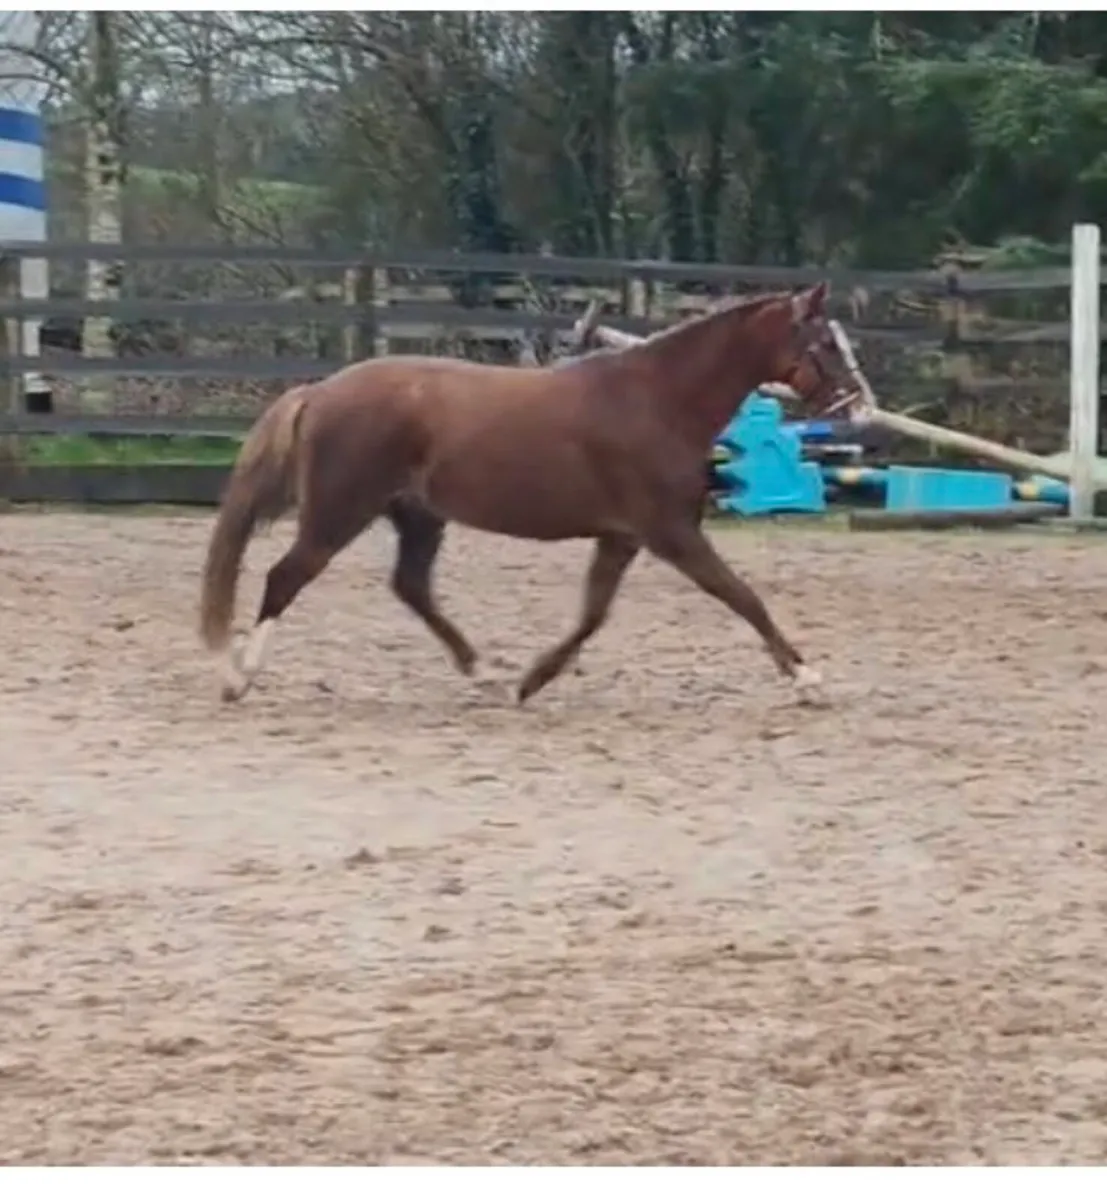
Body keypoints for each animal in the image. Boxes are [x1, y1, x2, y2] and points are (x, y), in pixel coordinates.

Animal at [199, 282, 859, 707]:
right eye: (825, 342)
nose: (853, 406)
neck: (658, 401)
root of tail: (320, 391)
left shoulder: (622, 537)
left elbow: (592, 616)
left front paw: (532, 679)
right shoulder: (671, 533)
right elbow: (741, 596)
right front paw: (806, 678)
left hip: (418, 516)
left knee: (411, 587)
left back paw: (485, 675)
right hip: (341, 511)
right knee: (286, 577)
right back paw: (238, 678)